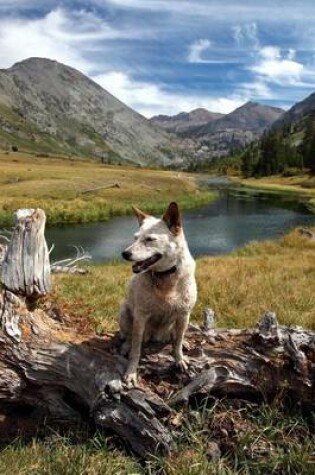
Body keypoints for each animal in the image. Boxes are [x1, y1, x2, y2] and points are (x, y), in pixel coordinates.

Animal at [120, 202, 198, 386]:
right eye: (135, 238)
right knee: (127, 336)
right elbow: (136, 349)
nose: (125, 254)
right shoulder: (140, 317)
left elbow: (177, 343)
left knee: (175, 337)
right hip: (124, 312)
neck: (165, 278)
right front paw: (131, 372)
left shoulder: (184, 314)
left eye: (149, 239)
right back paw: (126, 345)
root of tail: (156, 337)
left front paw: (179, 359)